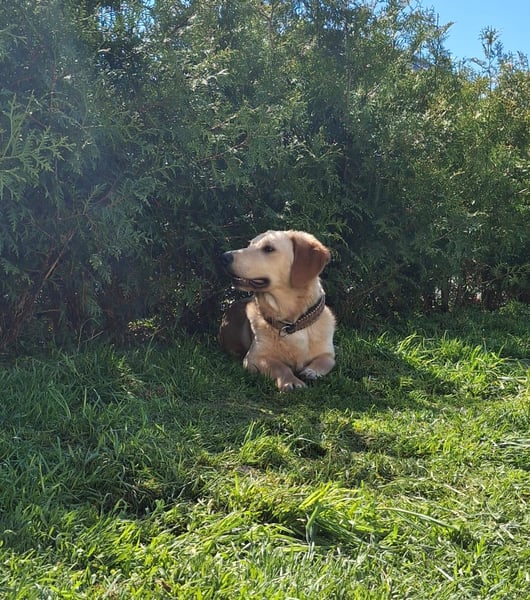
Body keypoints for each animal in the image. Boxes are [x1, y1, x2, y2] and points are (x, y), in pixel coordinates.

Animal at [219, 230, 336, 391]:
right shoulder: (254, 357)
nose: (224, 257)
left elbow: (325, 361)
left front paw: (312, 371)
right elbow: (280, 366)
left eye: (268, 249)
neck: (292, 324)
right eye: (250, 245)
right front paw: (291, 381)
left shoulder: (329, 353)